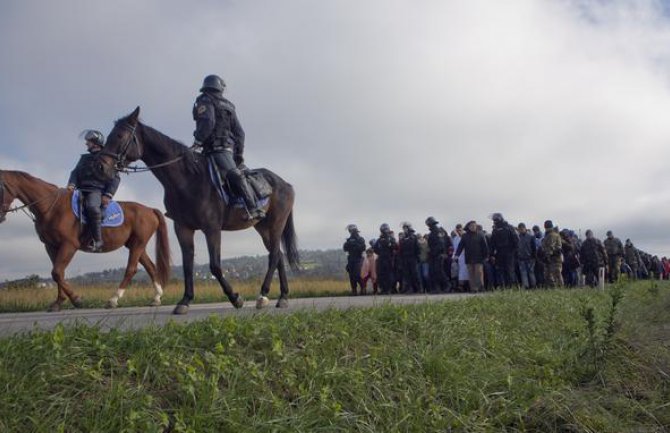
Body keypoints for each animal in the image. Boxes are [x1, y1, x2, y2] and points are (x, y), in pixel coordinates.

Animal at [0, 169, 171, 310]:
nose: (0, 217)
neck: (51, 207)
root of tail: (149, 210)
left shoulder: (69, 245)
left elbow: (57, 272)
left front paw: (77, 300)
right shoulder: (51, 246)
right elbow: (58, 273)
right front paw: (58, 302)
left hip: (138, 244)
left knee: (131, 269)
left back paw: (113, 300)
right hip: (135, 245)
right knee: (151, 267)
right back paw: (156, 298)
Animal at [100, 106, 300, 312]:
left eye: (120, 135)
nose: (102, 166)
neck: (187, 179)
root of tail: (285, 184)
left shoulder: (211, 228)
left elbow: (215, 266)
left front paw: (235, 298)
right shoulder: (183, 228)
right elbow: (188, 265)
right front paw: (185, 300)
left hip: (276, 224)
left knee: (274, 255)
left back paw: (263, 295)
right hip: (262, 226)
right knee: (278, 256)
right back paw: (282, 297)